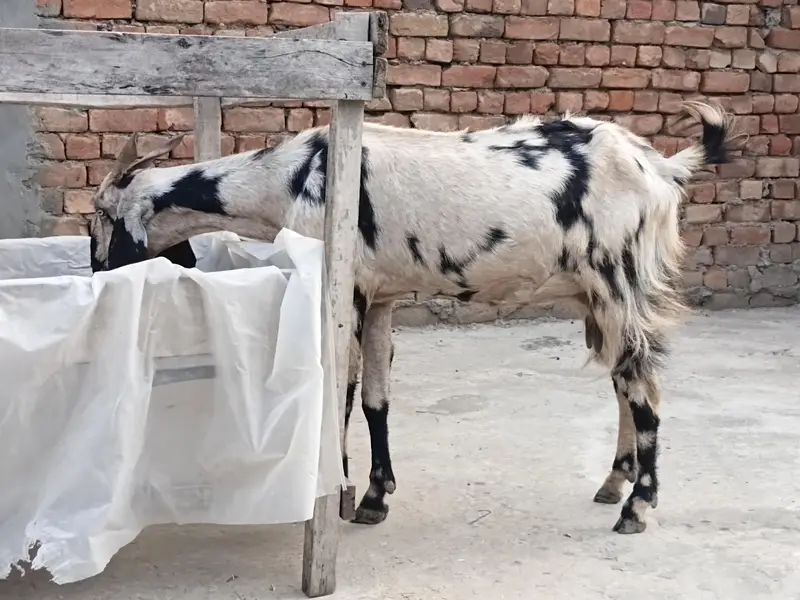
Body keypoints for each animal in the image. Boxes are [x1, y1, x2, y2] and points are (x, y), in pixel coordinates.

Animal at [90, 101, 737, 534]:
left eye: (99, 215)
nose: (96, 270)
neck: (291, 177)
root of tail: (661, 168)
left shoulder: (346, 289)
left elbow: (343, 393)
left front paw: (339, 491)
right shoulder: (381, 297)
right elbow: (377, 398)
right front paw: (375, 497)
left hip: (619, 279)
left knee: (643, 384)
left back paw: (638, 505)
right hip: (595, 296)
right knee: (624, 379)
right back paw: (614, 481)